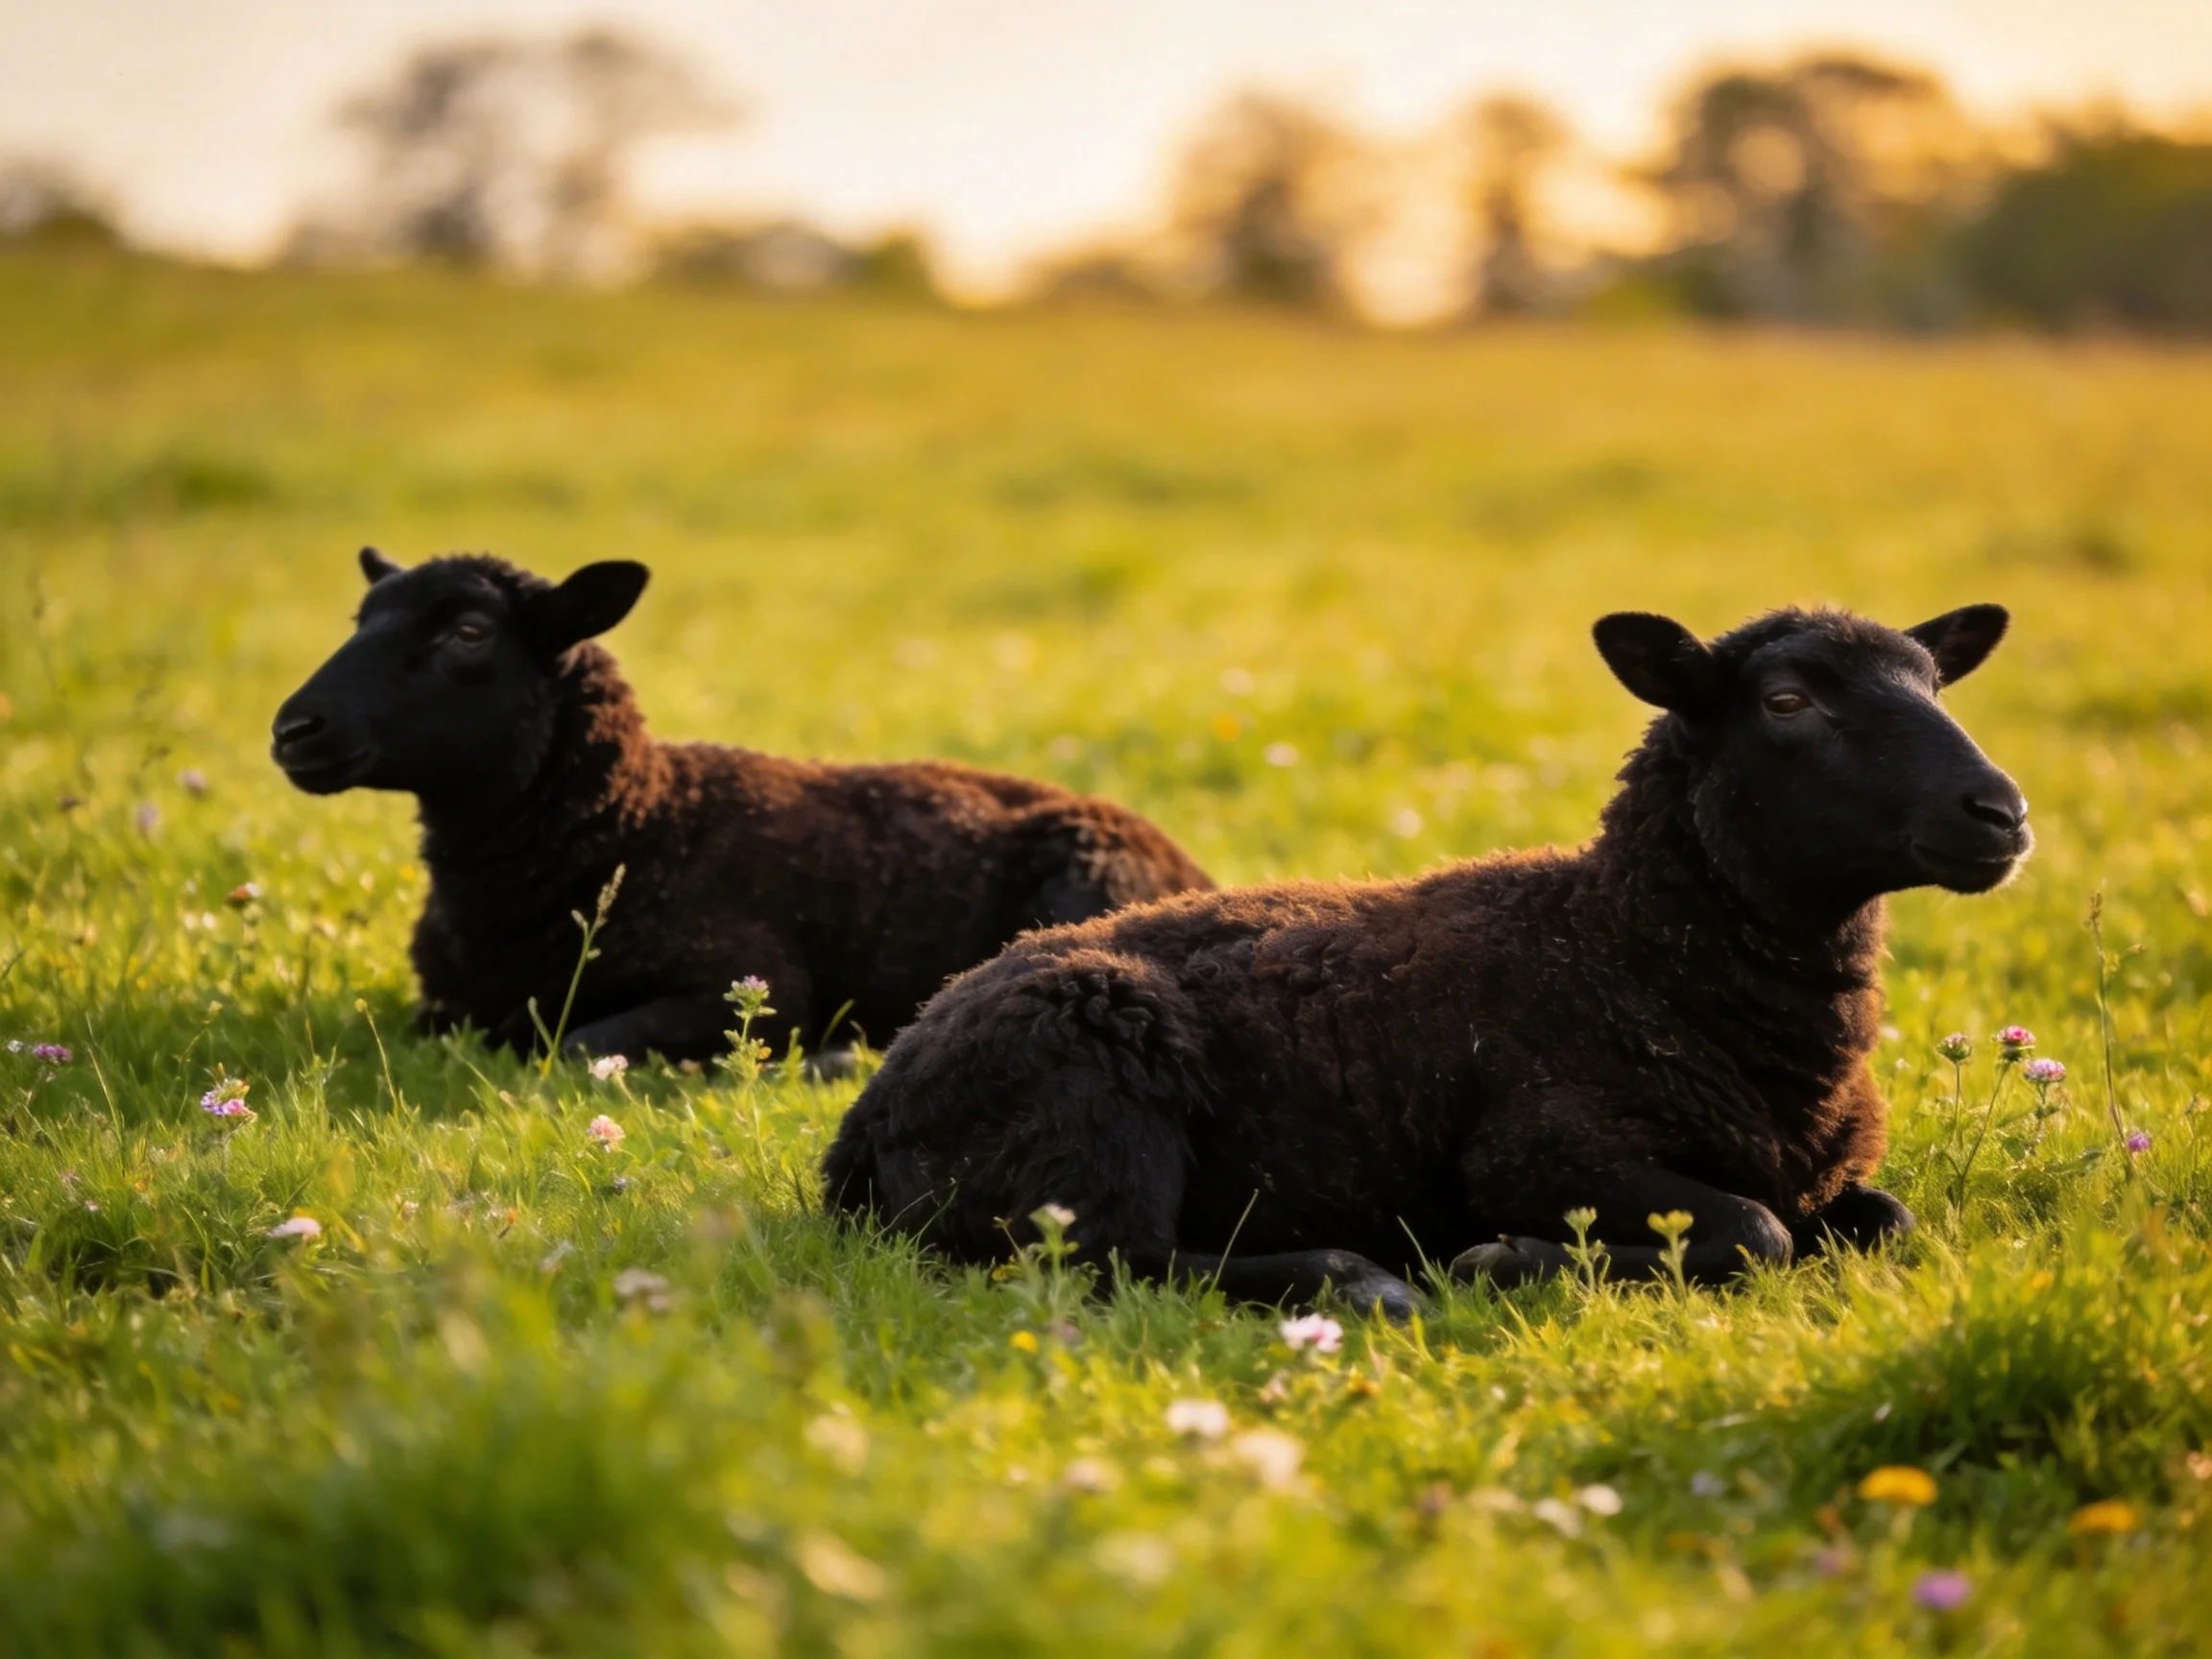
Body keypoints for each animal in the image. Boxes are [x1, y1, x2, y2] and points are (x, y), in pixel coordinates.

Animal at [270, 549, 1213, 1062]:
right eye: (359, 618)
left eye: (469, 632)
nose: (293, 728)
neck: (634, 826)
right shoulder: (444, 1008)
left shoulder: (745, 983)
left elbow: (578, 1045)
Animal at [822, 603, 2030, 1318]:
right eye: (1787, 702)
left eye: (1937, 686)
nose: (2003, 813)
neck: (1625, 950)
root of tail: (870, 1110)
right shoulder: (1540, 1151)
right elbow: (1757, 1230)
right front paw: (1508, 1260)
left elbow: (1884, 1219)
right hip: (1093, 1098)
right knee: (1116, 1261)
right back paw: (1360, 1280)